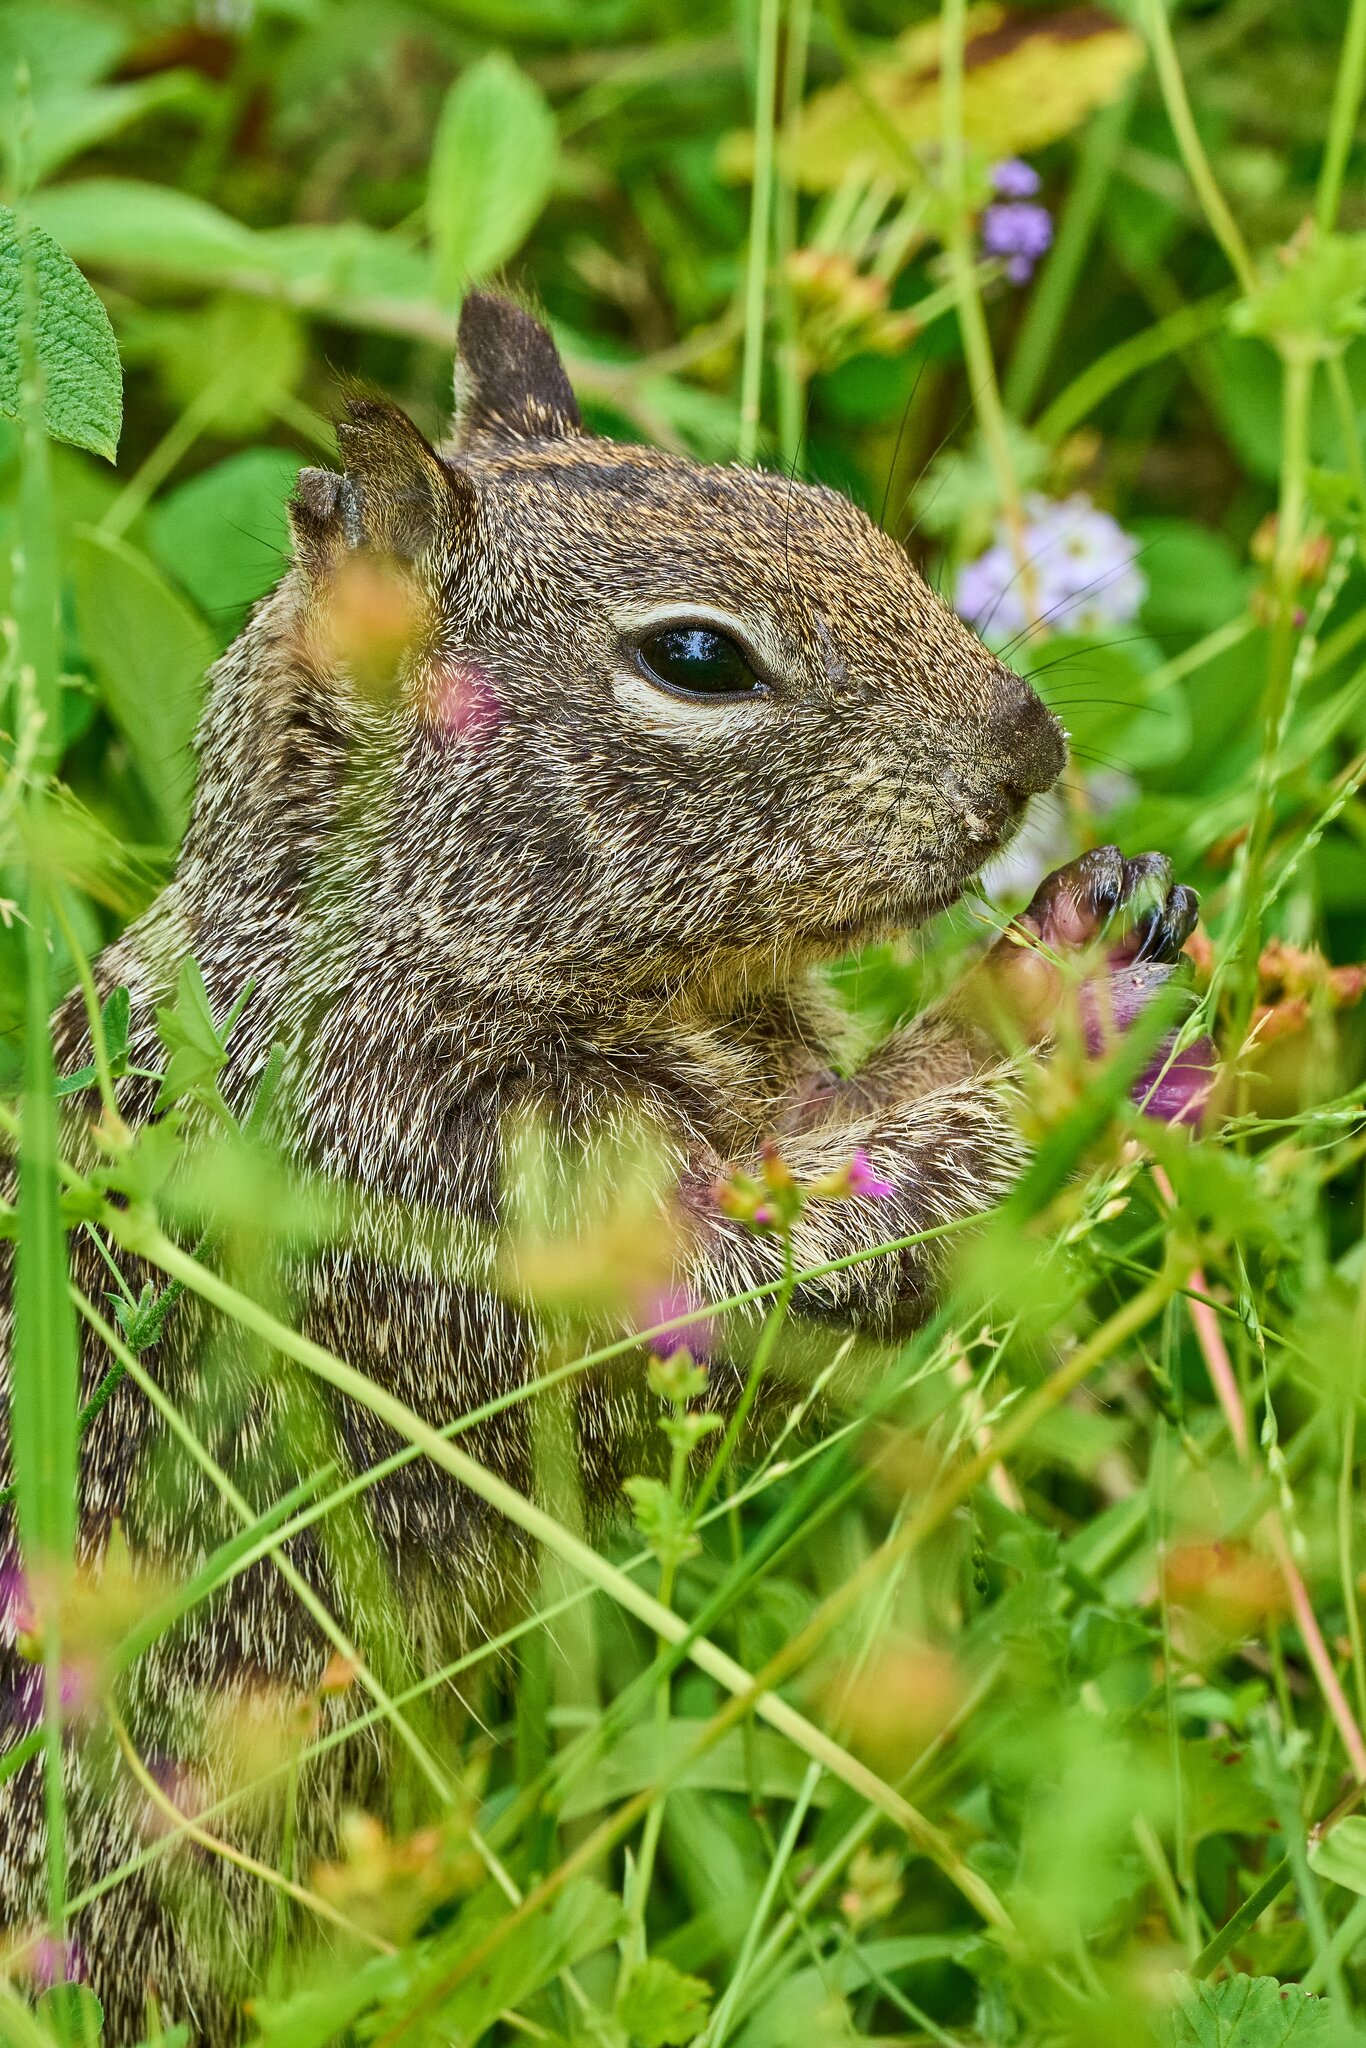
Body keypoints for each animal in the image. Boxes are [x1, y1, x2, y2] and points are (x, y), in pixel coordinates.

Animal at [0, 296, 1196, 2039]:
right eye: (695, 658)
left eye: (841, 516)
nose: (1031, 747)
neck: (371, 951)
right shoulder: (458, 1211)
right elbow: (793, 1274)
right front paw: (1063, 1055)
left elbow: (840, 1122)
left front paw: (1073, 936)